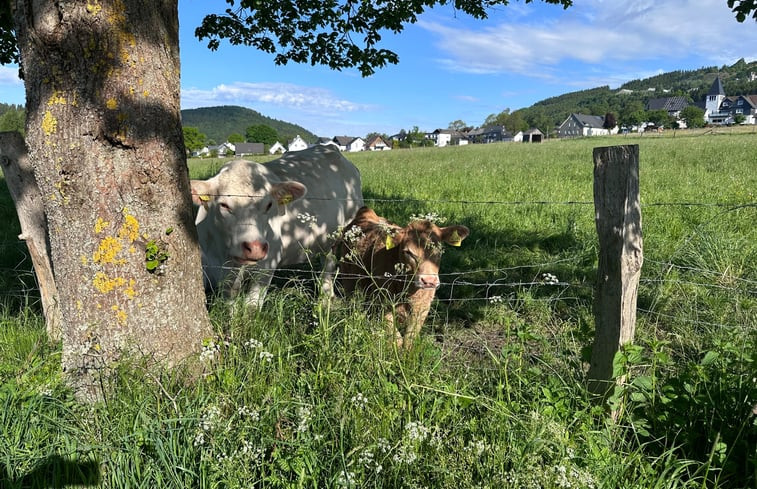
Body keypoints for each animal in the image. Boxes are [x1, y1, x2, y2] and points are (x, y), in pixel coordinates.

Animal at [336, 206, 466, 346]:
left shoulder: (422, 307)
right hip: (348, 278)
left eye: (439, 249)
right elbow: (396, 339)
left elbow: (409, 339)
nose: (429, 281)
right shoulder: (383, 302)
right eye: (408, 252)